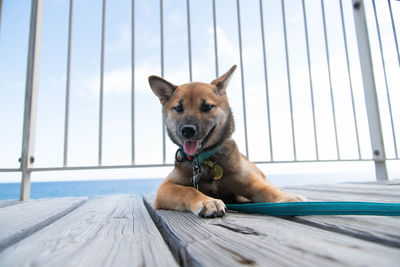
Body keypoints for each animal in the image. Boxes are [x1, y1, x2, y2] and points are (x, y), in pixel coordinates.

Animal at [148, 66, 308, 219]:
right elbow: (188, 190)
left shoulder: (250, 183)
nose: (187, 130)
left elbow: (266, 189)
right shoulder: (166, 187)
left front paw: (287, 198)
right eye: (178, 108)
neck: (207, 161)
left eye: (206, 107)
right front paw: (207, 200)